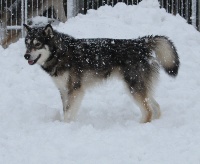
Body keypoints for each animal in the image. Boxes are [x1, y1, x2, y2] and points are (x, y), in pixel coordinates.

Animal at [22, 23, 179, 122]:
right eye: (27, 44)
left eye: (37, 44)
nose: (26, 56)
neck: (60, 53)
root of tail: (141, 43)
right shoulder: (64, 90)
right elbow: (66, 111)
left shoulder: (75, 90)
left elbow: (68, 112)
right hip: (140, 87)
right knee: (156, 107)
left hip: (133, 87)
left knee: (148, 111)